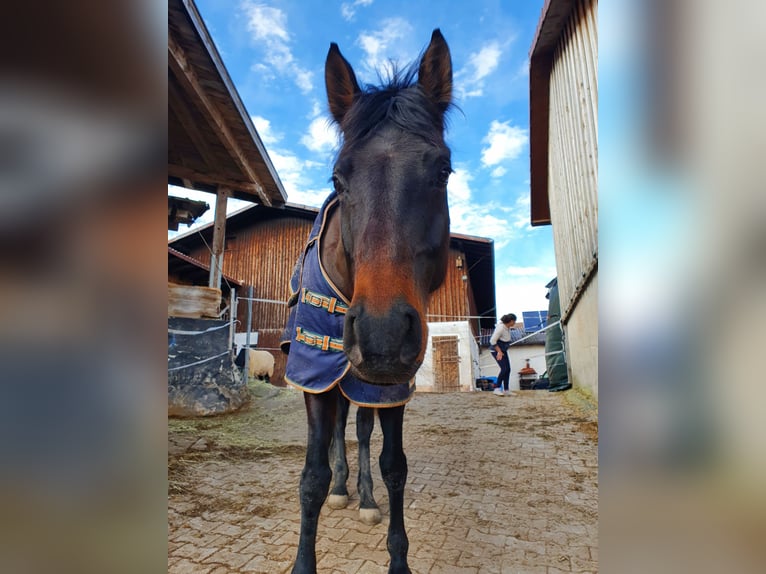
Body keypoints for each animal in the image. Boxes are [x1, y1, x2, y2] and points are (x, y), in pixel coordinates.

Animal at [280, 29, 450, 572]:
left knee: (357, 429)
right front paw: (304, 560)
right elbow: (310, 478)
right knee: (337, 432)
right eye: (338, 177)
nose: (382, 334)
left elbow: (392, 464)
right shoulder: (313, 373)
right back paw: (341, 488)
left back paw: (365, 496)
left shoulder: (391, 384)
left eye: (443, 170)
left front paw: (397, 556)